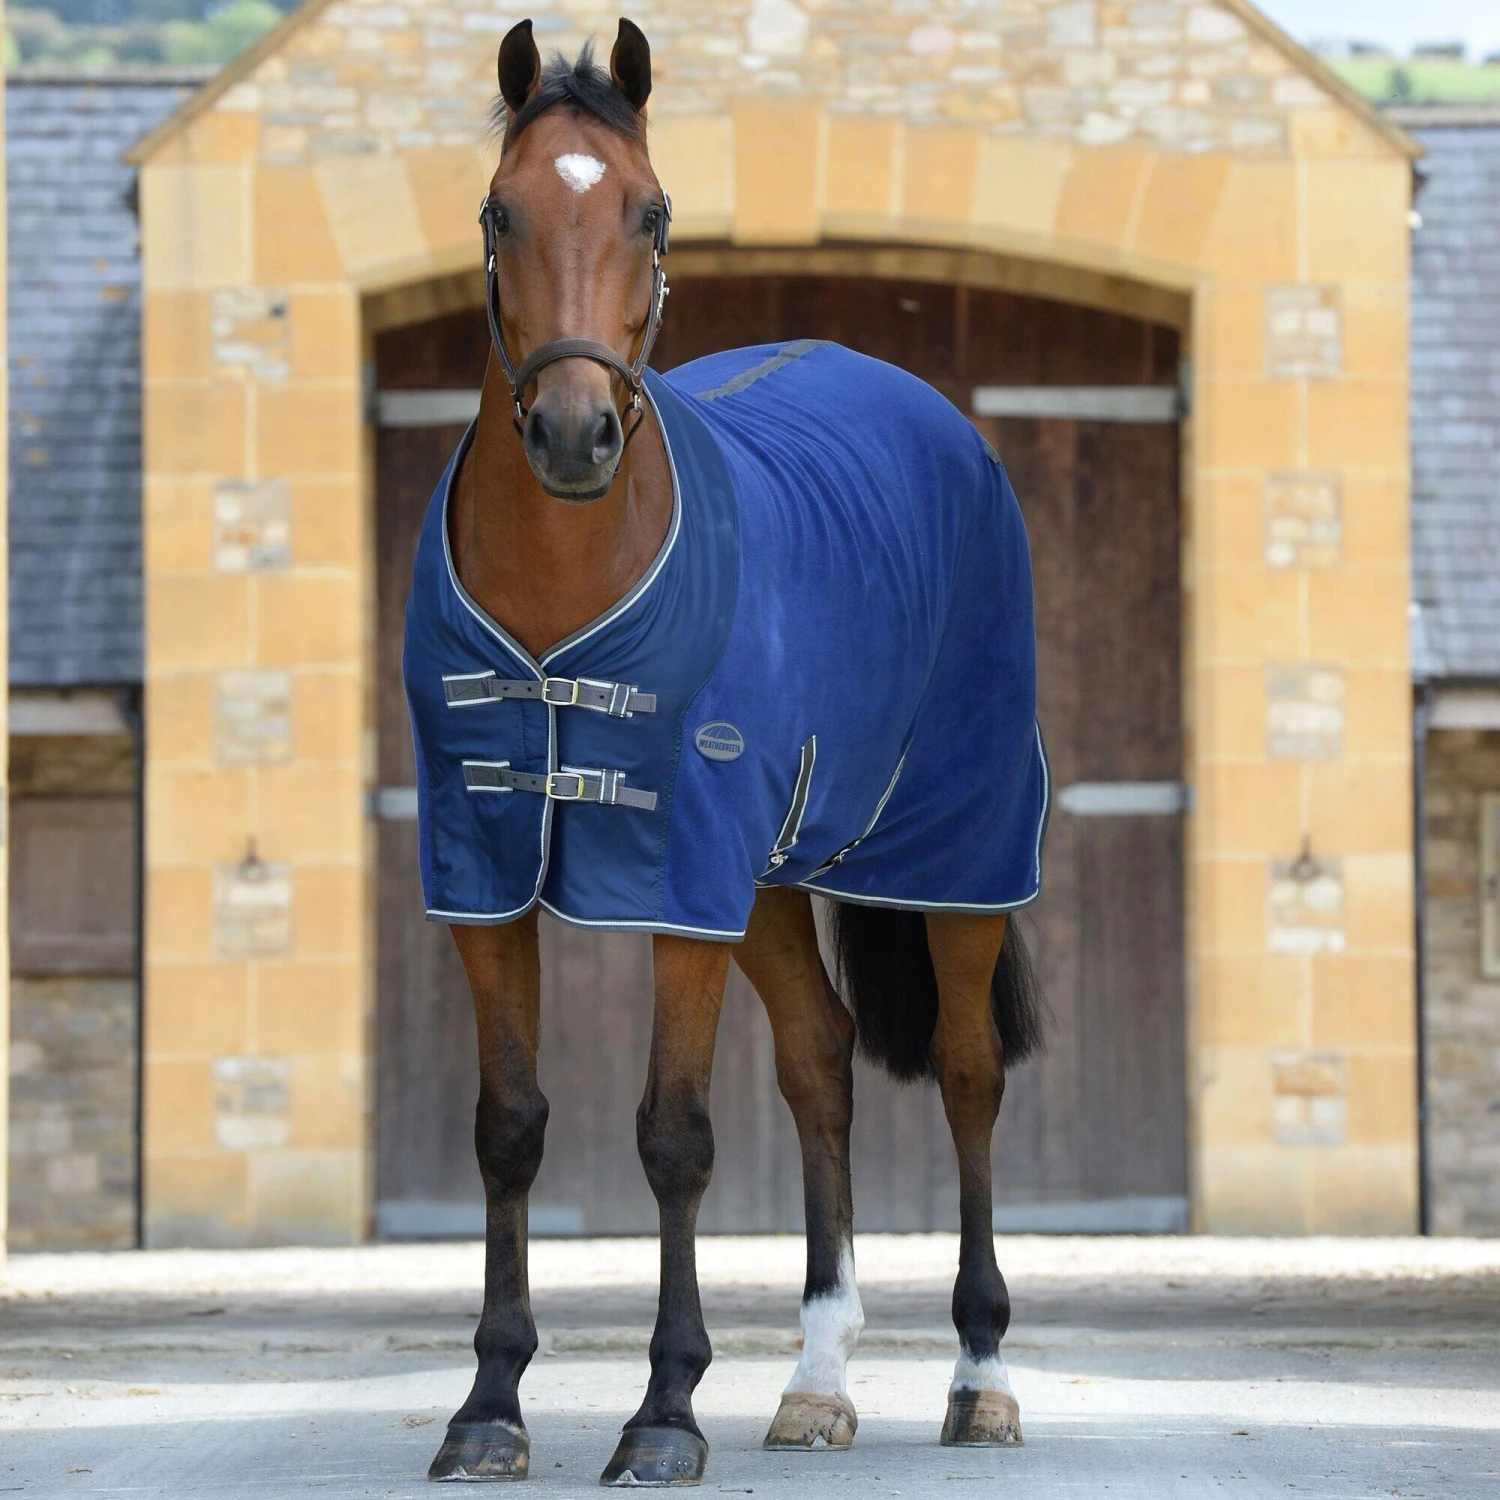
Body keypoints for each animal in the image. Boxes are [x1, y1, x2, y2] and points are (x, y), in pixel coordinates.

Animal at [407, 17, 1049, 1485]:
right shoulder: (484, 873)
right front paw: (489, 1405)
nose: (574, 434)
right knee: (819, 1065)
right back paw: (816, 1381)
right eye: (499, 210)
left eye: (650, 212)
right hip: (763, 884)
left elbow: (675, 1135)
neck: (564, 599)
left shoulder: (675, 878)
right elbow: (508, 1129)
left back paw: (981, 1375)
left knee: (971, 1076)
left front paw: (662, 1412)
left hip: (959, 853)